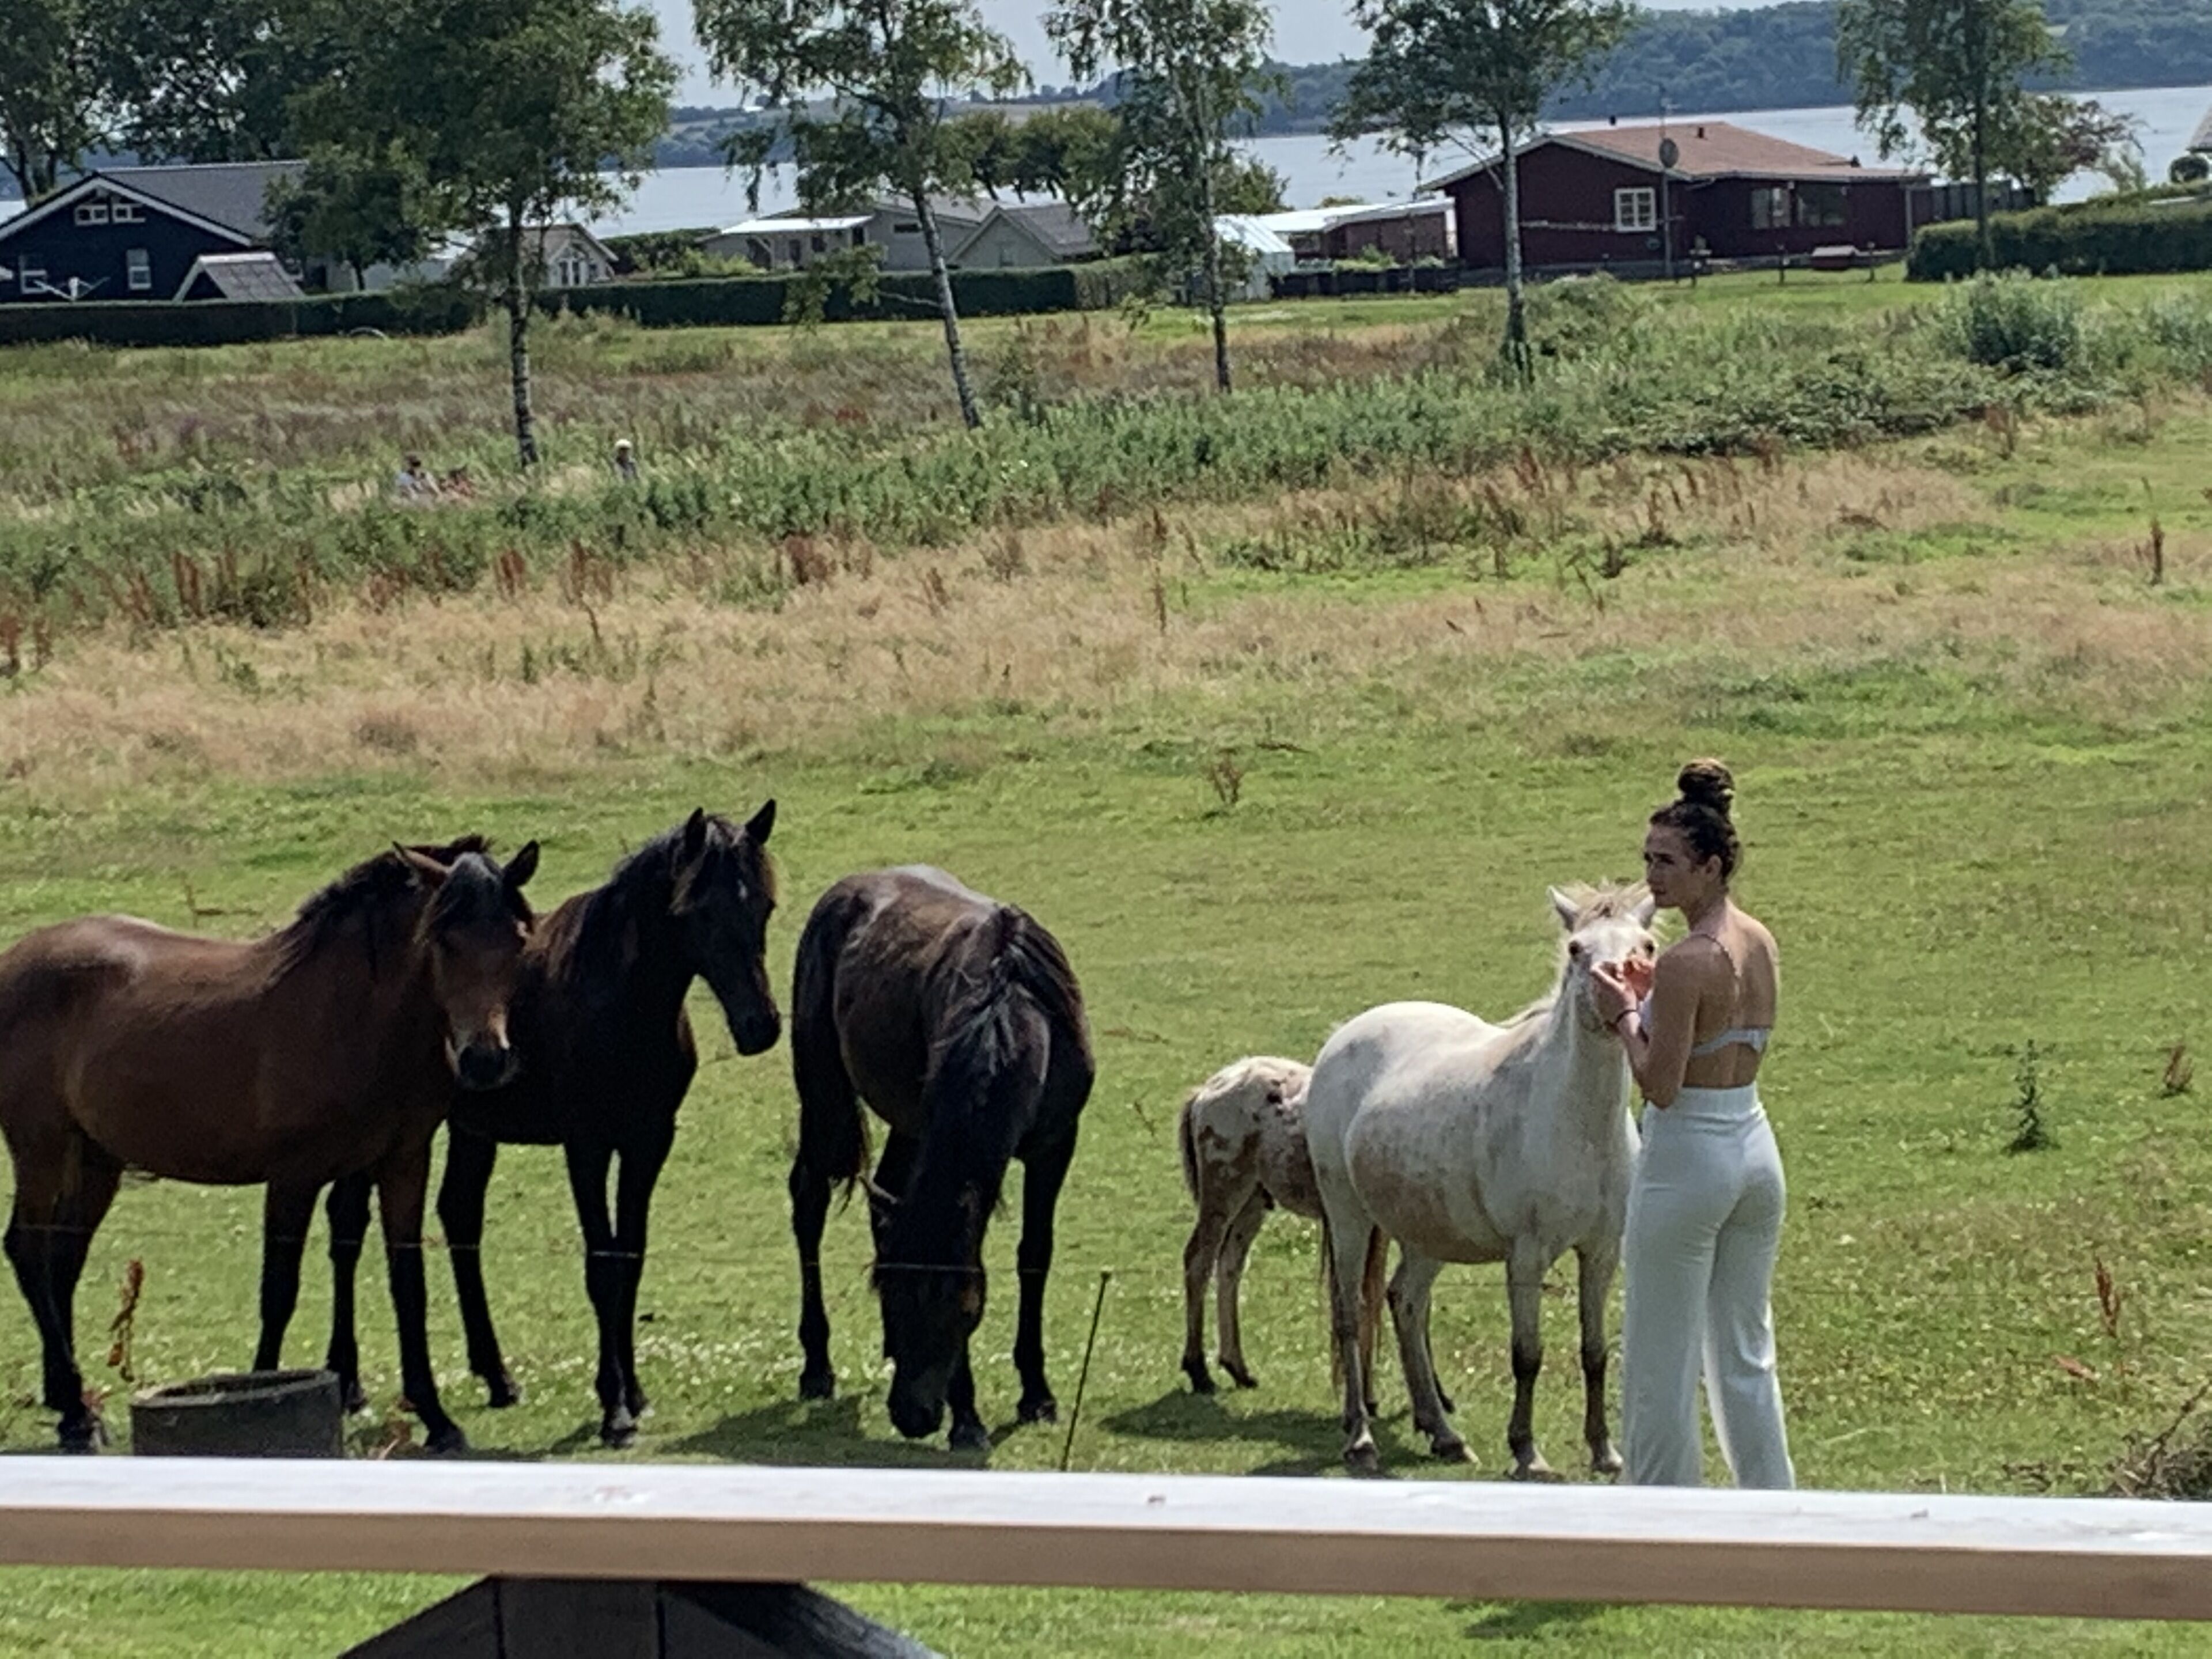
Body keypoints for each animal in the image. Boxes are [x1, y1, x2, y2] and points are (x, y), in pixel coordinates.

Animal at [0, 837, 538, 1452]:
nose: (485, 1059)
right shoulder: (294, 1177)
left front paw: (436, 1417)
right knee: (26, 1249)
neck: (350, 1016)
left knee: (62, 1259)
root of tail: (14, 962)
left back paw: (70, 1403)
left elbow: (409, 1286)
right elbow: (278, 1291)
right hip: (40, 1147)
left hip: (95, 1159)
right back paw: (75, 1414)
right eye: (441, 940)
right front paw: (261, 1393)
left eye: (519, 937)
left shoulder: (403, 1163)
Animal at [262, 804, 781, 1449]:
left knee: (457, 1215)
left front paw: (634, 1392)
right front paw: (614, 1410)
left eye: (764, 906)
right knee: (348, 1227)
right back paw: (350, 1383)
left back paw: (497, 1376)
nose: (761, 1026)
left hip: (471, 1130)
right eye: (698, 910)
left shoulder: (648, 1142)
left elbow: (630, 1259)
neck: (618, 1000)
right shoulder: (587, 1146)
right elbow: (602, 1267)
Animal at [787, 867, 1093, 1450]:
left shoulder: (1055, 1145)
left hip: (904, 1125)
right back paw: (816, 1367)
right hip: (824, 1095)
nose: (914, 1416)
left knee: (882, 1204)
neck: (1012, 1011)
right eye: (892, 1301)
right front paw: (968, 1420)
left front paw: (1037, 1395)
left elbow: (1034, 1255)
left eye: (964, 1311)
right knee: (808, 1198)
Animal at [1303, 883, 1655, 1475]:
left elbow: (1595, 1352)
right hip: (1348, 1215)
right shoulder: (1527, 1257)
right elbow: (1527, 1355)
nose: (1616, 1001)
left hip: (1427, 1233)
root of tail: (1341, 1038)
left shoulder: (1603, 1251)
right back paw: (1362, 1438)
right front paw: (1527, 1453)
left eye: (1646, 947)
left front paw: (1605, 1451)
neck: (1575, 1122)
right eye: (1577, 948)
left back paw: (1442, 1432)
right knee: (1351, 1316)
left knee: (1405, 1302)